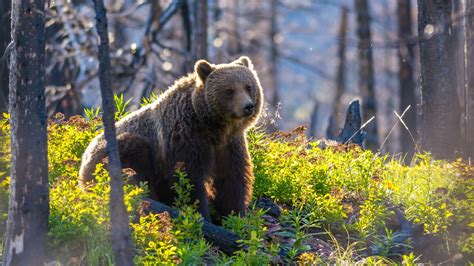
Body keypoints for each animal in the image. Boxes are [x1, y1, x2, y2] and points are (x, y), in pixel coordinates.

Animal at [78, 55, 262, 221]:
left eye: (248, 87)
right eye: (229, 90)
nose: (248, 106)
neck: (214, 127)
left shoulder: (229, 144)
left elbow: (232, 179)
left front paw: (235, 216)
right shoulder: (185, 138)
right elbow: (187, 180)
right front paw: (201, 215)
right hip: (111, 155)